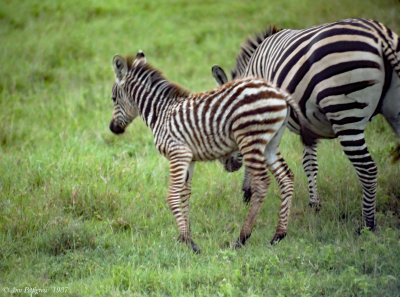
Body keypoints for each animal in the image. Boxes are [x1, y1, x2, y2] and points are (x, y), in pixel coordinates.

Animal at [212, 17, 400, 229]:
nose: (226, 165)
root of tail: (379, 34)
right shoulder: (308, 125)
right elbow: (310, 164)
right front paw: (314, 206)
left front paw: (248, 192)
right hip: (393, 111)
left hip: (345, 112)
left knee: (367, 169)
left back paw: (367, 225)